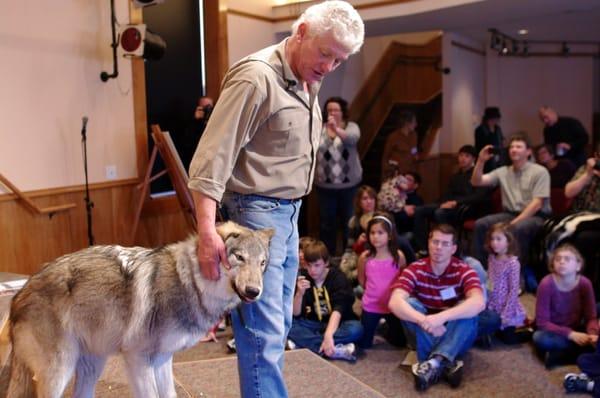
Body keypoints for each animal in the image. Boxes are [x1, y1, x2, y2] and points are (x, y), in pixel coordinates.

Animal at [2, 221, 272, 398]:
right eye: (239, 257)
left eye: (262, 263)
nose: (254, 292)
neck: (191, 282)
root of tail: (18, 295)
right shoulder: (137, 359)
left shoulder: (163, 360)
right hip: (59, 370)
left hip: (92, 365)